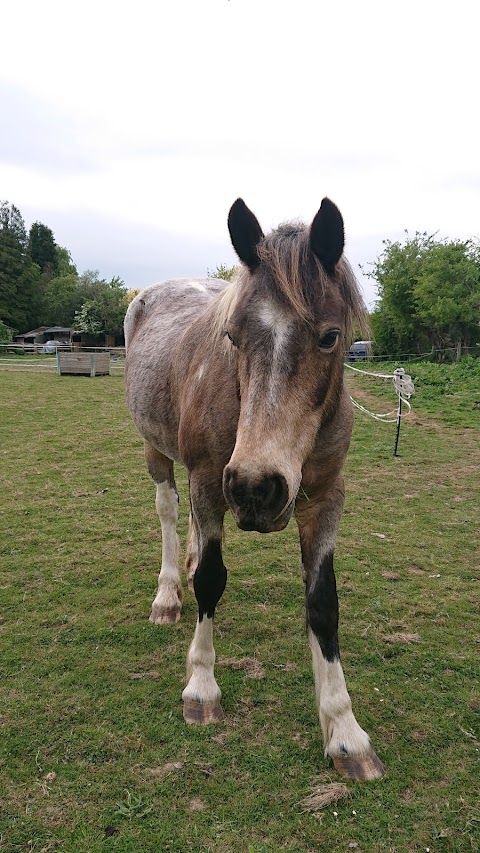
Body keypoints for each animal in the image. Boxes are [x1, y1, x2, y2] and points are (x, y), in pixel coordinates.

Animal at [125, 198, 384, 780]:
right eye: (233, 337)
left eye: (330, 336)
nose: (255, 488)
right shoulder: (208, 479)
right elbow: (212, 581)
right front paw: (201, 687)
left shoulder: (325, 501)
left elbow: (323, 604)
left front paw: (345, 731)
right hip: (161, 455)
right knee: (170, 513)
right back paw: (169, 593)